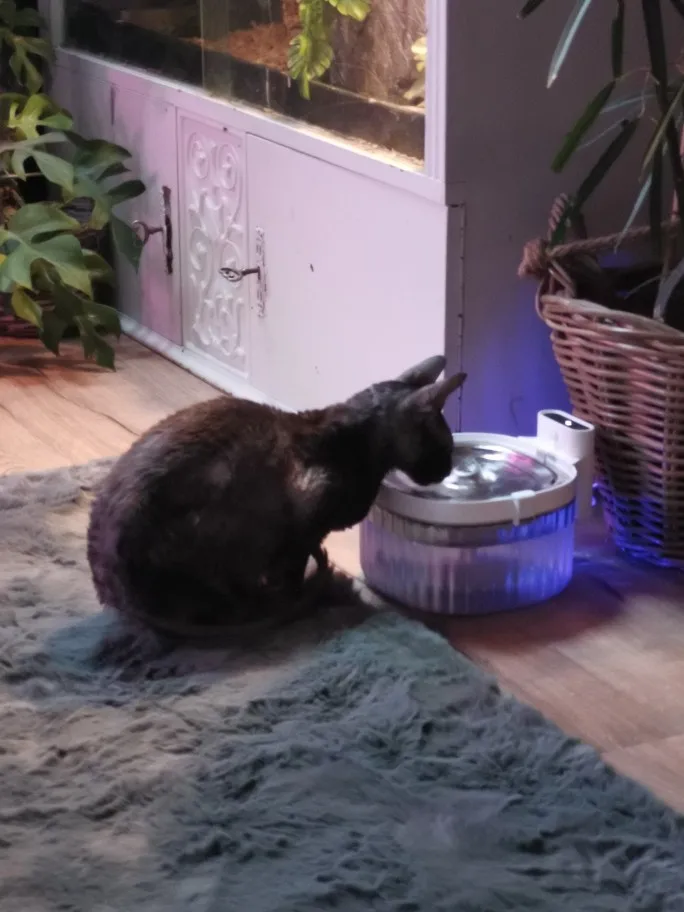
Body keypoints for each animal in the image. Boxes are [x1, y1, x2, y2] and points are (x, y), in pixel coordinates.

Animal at [87, 355, 465, 640]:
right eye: (445, 447)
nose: (447, 469)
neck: (359, 444)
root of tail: (115, 590)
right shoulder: (306, 516)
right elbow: (293, 569)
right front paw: (296, 596)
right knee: (234, 601)